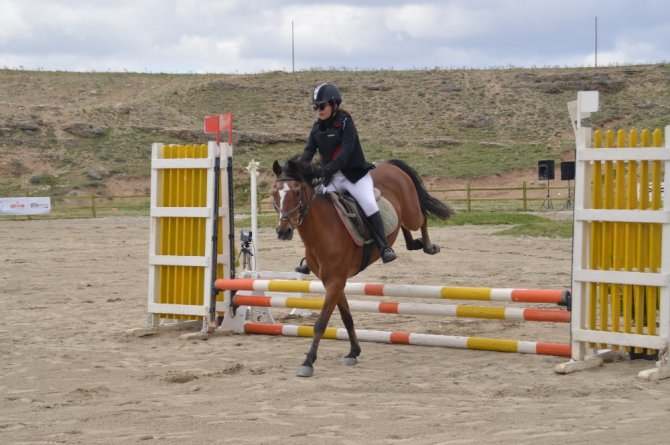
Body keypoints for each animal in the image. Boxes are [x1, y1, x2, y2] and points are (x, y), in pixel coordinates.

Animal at [270, 158, 454, 376]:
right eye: (274, 193)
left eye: (298, 192)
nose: (283, 231)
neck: (322, 231)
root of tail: (388, 164)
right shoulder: (333, 282)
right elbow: (346, 317)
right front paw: (353, 352)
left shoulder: (335, 281)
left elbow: (321, 322)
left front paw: (308, 362)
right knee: (403, 228)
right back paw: (409, 245)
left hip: (411, 212)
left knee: (422, 217)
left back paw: (428, 246)